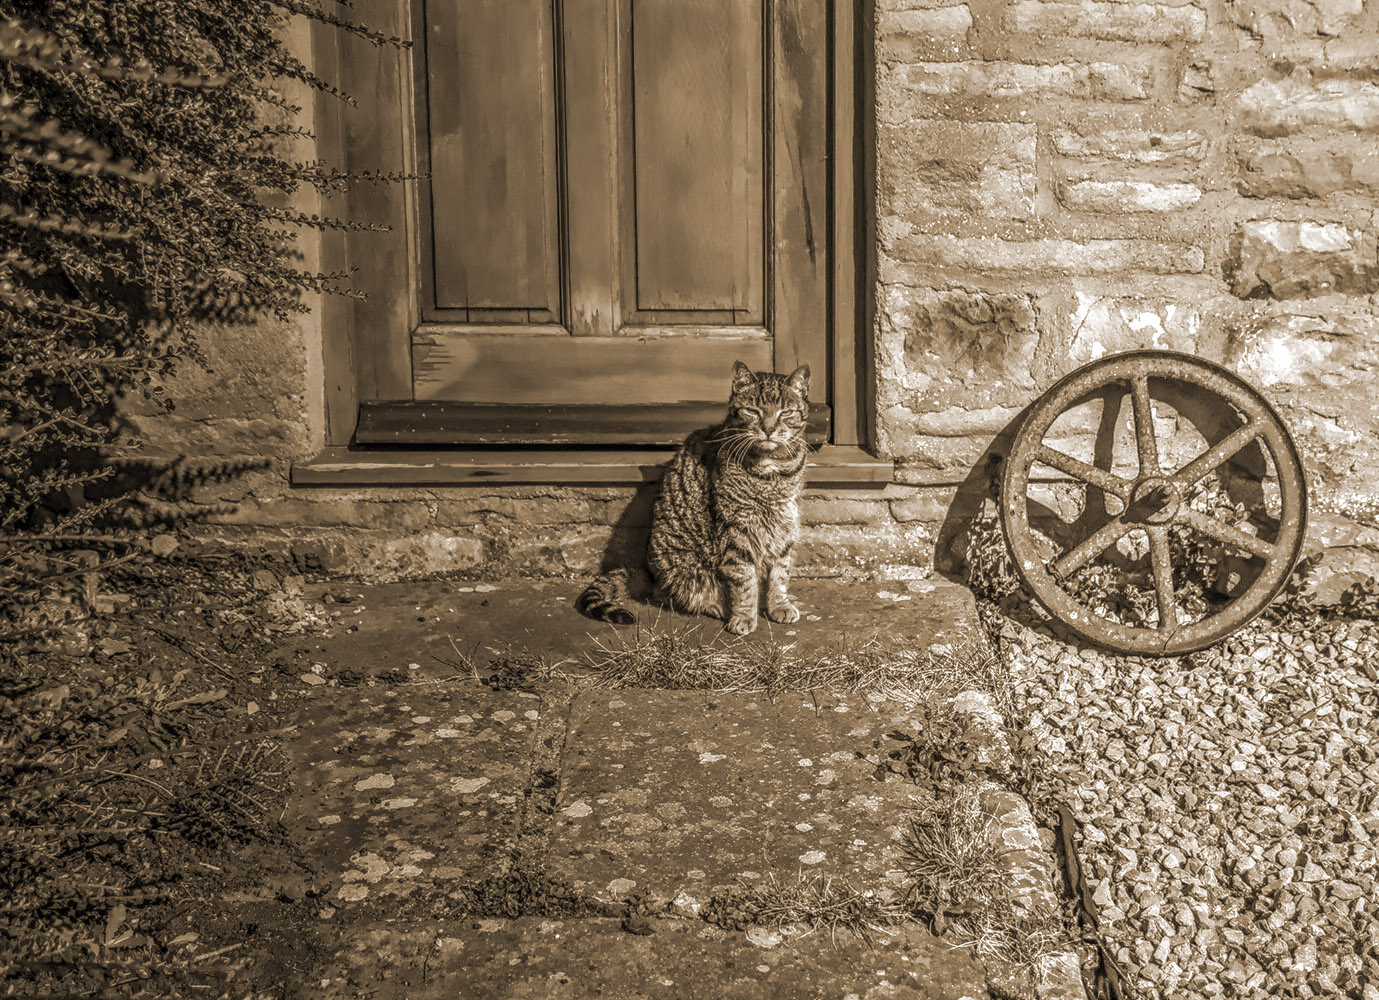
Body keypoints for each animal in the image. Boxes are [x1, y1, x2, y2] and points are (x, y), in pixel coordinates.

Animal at [579, 364, 810, 634]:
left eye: (786, 413)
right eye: (753, 411)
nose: (769, 429)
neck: (772, 471)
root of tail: (650, 573)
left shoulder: (784, 525)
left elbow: (780, 574)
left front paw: (778, 605)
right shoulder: (736, 531)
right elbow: (744, 580)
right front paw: (744, 616)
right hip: (685, 570)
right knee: (677, 596)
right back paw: (716, 606)